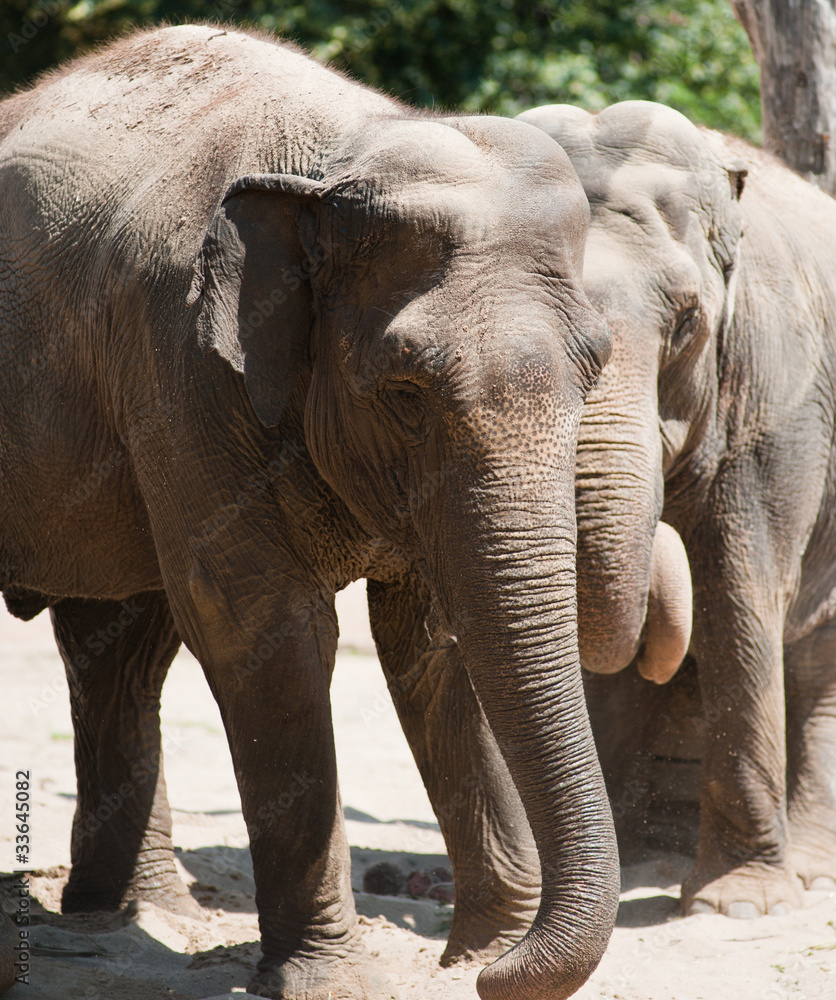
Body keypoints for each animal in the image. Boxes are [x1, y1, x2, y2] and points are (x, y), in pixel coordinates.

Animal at [0, 25, 618, 1000]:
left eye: (595, 367)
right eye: (405, 390)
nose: (493, 975)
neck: (341, 155)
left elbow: (431, 632)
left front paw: (481, 947)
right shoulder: (176, 356)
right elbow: (263, 627)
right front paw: (330, 980)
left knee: (119, 646)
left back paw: (131, 915)